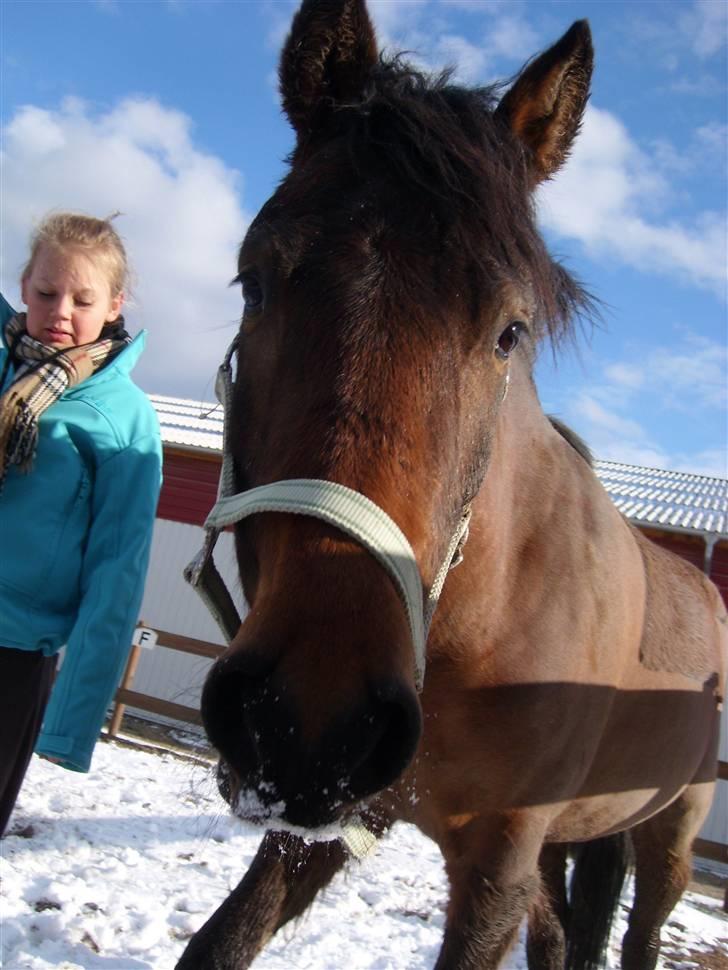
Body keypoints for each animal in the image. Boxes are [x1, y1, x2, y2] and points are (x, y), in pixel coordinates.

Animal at [178, 3, 728, 964]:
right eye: (254, 284)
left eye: (511, 331)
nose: (308, 717)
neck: (481, 617)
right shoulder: (324, 821)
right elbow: (222, 939)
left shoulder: (497, 866)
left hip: (671, 828)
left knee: (640, 927)